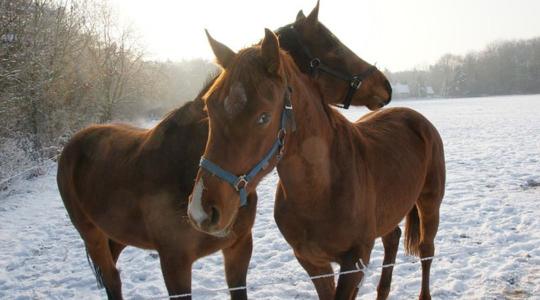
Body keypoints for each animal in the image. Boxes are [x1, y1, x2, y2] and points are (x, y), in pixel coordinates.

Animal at [56, 4, 392, 300]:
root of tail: (74, 143)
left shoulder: (239, 249)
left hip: (115, 236)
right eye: (334, 45)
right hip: (92, 235)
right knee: (112, 279)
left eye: (263, 117)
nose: (385, 85)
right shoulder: (174, 263)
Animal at [188, 28, 446, 300]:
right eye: (208, 108)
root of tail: (416, 118)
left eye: (263, 117)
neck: (321, 189)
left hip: (430, 205)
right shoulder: (313, 262)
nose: (201, 211)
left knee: (426, 250)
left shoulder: (354, 261)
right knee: (392, 239)